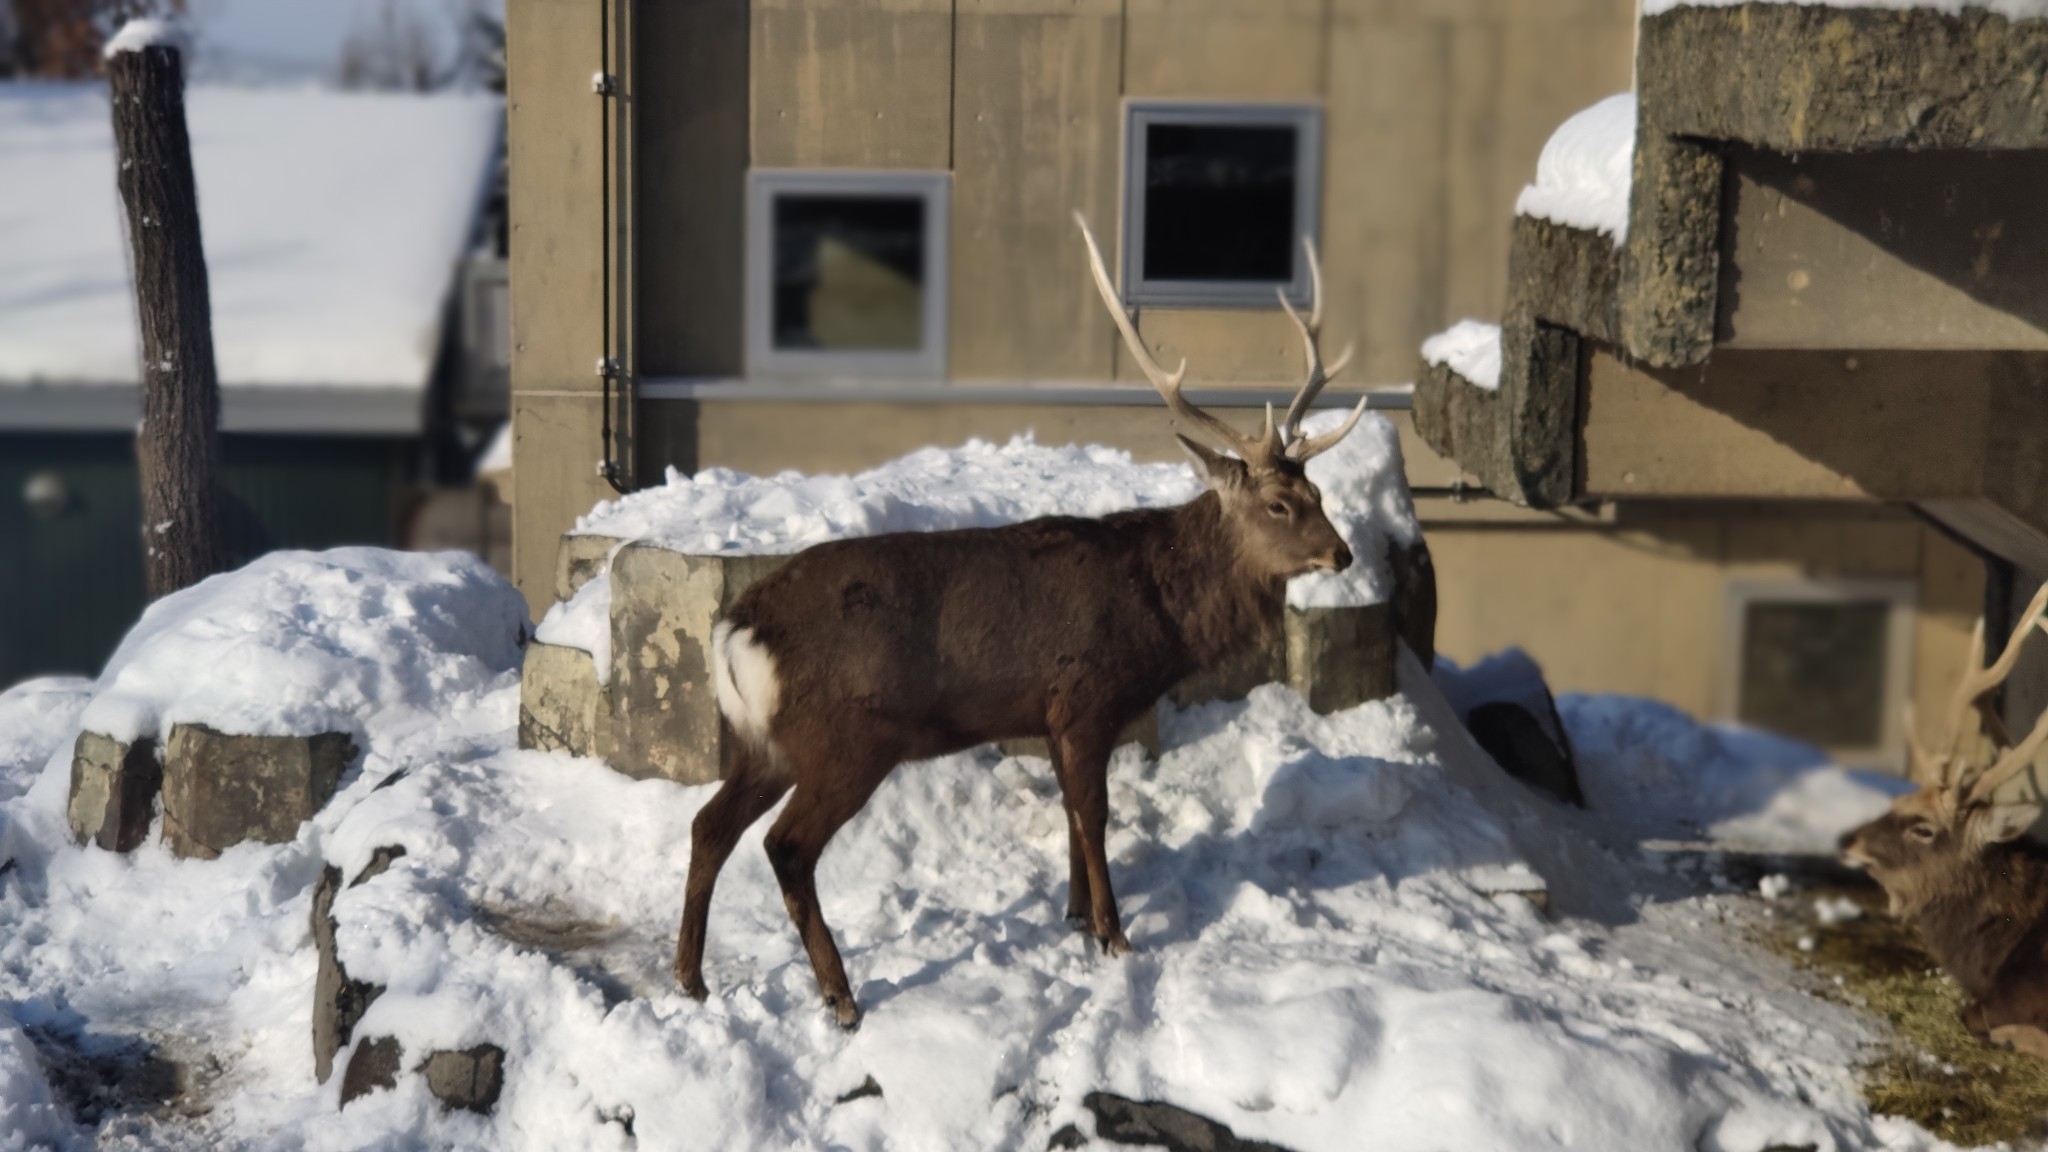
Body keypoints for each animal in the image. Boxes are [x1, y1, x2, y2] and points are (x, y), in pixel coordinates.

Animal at [671, 215, 1368, 1020]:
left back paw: (690, 978)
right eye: (1280, 504)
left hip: (768, 744)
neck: (1158, 617)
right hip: (847, 737)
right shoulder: (1086, 698)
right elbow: (1094, 816)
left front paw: (1074, 916)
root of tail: (734, 631)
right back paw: (840, 996)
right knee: (785, 846)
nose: (1343, 552)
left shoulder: (1050, 714)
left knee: (709, 826)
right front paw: (1114, 934)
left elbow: (1069, 814)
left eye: (1318, 491)